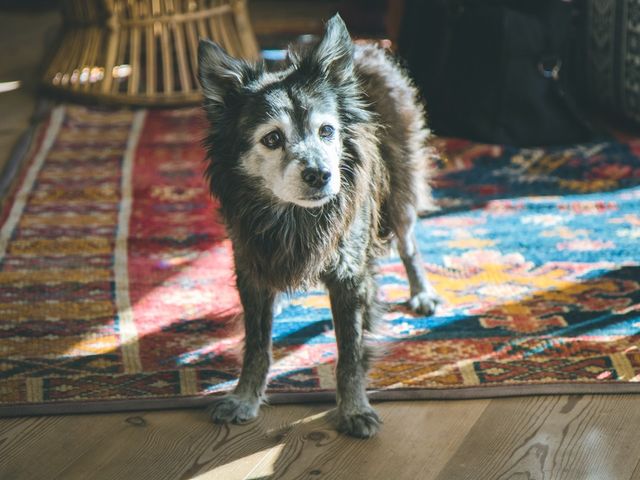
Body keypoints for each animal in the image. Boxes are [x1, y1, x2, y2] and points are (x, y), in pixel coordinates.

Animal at [200, 13, 440, 436]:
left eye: (326, 131)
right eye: (272, 139)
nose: (321, 175)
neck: (293, 215)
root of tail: (363, 46)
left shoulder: (348, 275)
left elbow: (350, 352)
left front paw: (354, 408)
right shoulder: (251, 270)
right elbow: (257, 346)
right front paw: (245, 398)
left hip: (400, 189)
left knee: (408, 243)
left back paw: (421, 292)